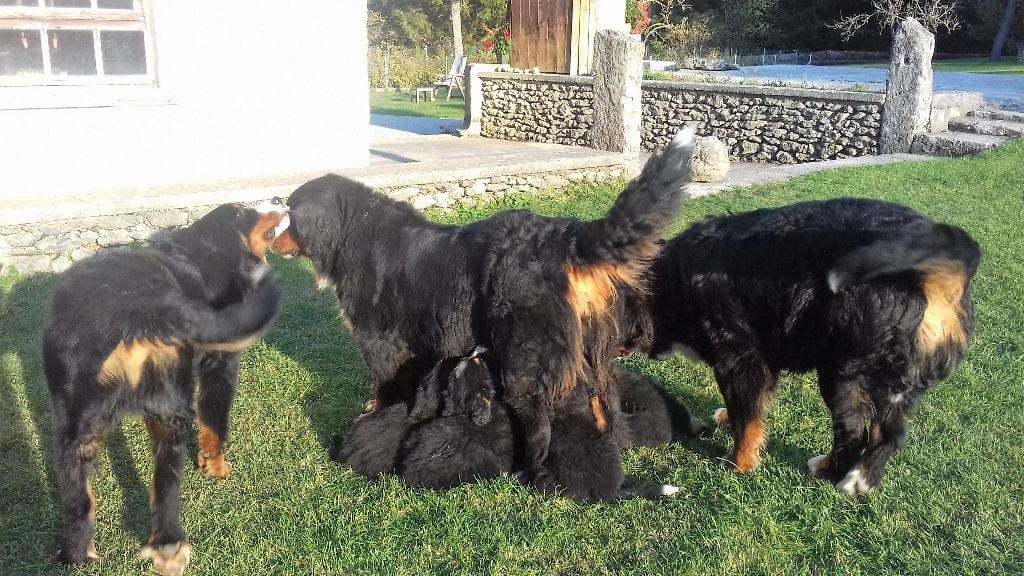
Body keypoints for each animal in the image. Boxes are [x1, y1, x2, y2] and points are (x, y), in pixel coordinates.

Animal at [41, 196, 286, 569]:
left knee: (78, 499)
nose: (279, 199)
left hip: (75, 423)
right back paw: (170, 545)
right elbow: (215, 422)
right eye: (243, 211)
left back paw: (77, 554)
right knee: (167, 484)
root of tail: (132, 309)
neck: (200, 256)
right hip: (172, 403)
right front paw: (215, 467)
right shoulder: (221, 363)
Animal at [270, 127, 696, 485]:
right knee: (600, 406)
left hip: (524, 361)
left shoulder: (382, 343)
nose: (270, 241)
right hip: (588, 356)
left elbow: (387, 389)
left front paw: (375, 414)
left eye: (289, 214)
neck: (354, 230)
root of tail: (560, 235)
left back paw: (532, 473)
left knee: (542, 424)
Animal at [643, 196, 978, 494]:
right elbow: (751, 405)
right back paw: (863, 479)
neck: (673, 281)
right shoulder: (763, 357)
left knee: (854, 432)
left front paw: (740, 462)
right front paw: (728, 417)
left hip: (842, 374)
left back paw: (832, 470)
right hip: (898, 379)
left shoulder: (738, 358)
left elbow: (746, 416)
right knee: (889, 433)